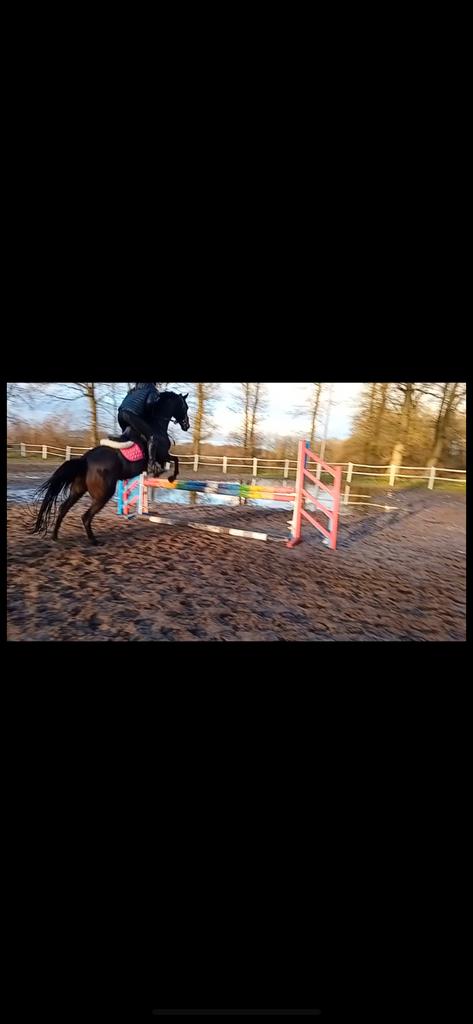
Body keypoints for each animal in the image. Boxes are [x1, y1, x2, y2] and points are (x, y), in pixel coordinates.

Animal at [32, 391, 190, 545]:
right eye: (185, 407)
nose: (186, 425)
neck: (157, 424)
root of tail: (85, 459)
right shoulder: (163, 455)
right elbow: (175, 459)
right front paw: (171, 477)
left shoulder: (163, 456)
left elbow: (174, 460)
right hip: (103, 493)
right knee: (86, 516)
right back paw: (93, 540)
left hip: (78, 490)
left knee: (63, 508)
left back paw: (55, 536)